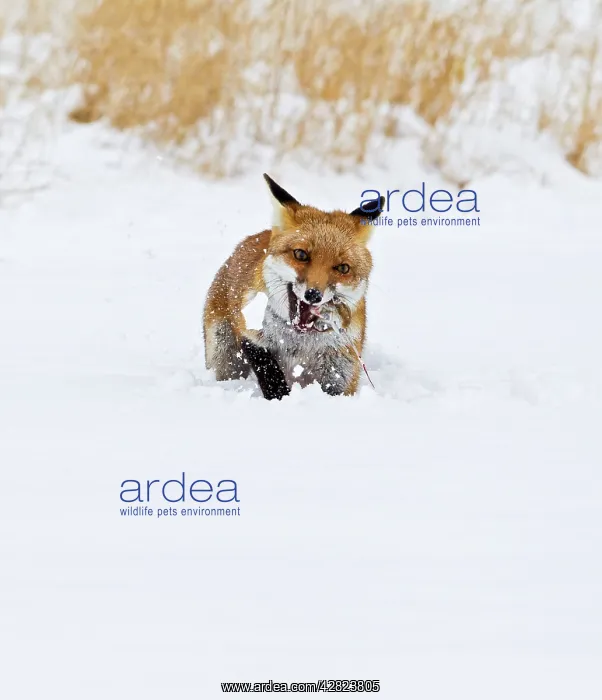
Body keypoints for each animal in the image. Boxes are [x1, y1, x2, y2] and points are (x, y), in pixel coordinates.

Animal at [203, 174, 384, 400]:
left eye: (343, 268)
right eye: (300, 254)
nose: (313, 294)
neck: (300, 341)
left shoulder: (341, 363)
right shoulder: (251, 333)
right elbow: (270, 373)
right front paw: (280, 398)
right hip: (225, 356)